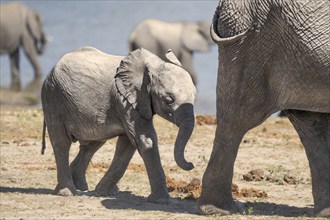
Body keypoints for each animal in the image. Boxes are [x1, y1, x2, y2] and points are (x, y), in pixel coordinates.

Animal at [41, 45, 196, 204]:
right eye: (169, 100)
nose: (191, 164)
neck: (155, 64)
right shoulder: (124, 100)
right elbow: (144, 141)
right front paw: (161, 201)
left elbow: (127, 145)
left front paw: (104, 192)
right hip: (53, 97)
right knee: (61, 142)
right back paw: (67, 193)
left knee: (94, 143)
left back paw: (82, 187)